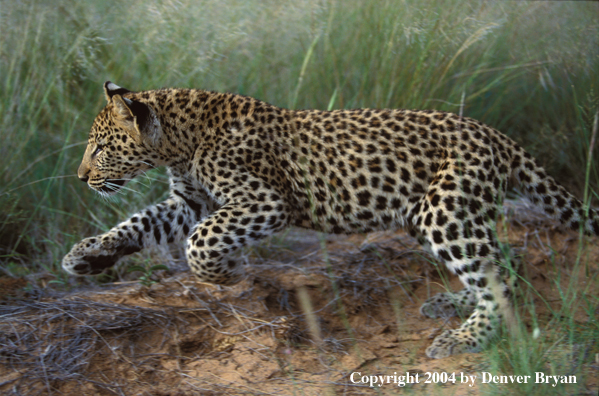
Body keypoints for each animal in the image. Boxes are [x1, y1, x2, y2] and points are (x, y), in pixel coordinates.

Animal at [62, 81, 599, 358]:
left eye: (102, 147)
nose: (81, 177)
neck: (179, 141)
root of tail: (497, 136)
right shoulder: (188, 202)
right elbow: (138, 223)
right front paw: (87, 256)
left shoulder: (263, 201)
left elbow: (200, 240)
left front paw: (225, 272)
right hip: (443, 212)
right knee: (502, 259)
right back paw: (451, 305)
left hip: (444, 209)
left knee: (498, 276)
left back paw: (465, 336)